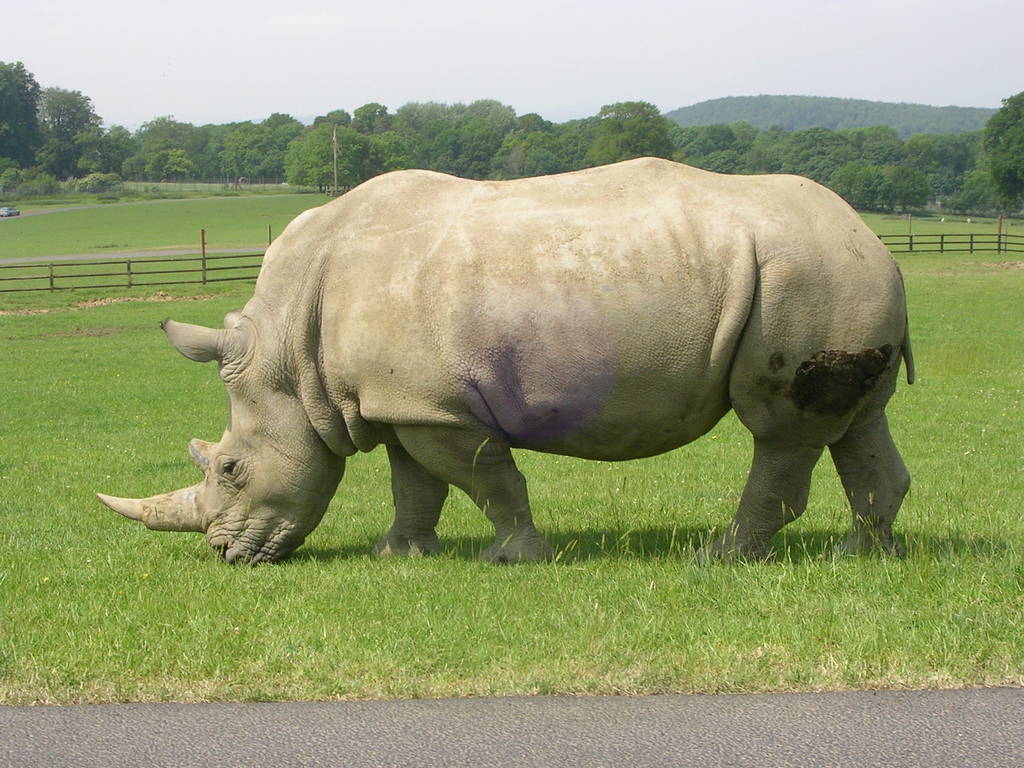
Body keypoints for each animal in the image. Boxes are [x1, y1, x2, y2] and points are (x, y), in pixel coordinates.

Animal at [98, 158, 914, 564]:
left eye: (232, 468)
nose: (225, 554)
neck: (289, 356)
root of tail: (874, 238)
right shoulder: (397, 400)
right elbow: (414, 483)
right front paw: (399, 555)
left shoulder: (434, 406)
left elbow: (485, 479)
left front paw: (516, 557)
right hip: (836, 277)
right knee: (853, 422)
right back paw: (860, 558)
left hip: (802, 273)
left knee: (779, 429)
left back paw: (720, 559)